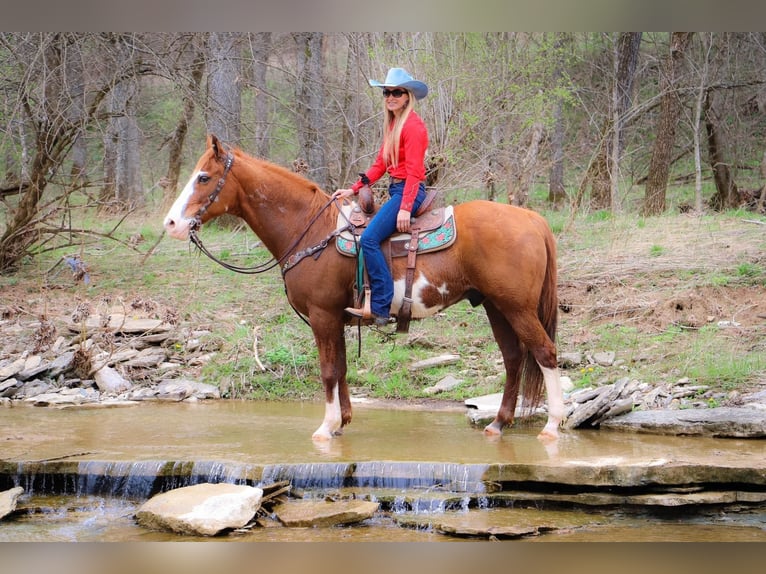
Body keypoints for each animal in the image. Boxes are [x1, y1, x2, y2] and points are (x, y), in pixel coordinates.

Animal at [166, 135, 564, 446]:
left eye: (204, 177)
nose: (171, 223)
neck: (311, 230)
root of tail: (533, 219)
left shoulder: (322, 316)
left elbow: (328, 371)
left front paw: (325, 428)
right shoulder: (337, 318)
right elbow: (341, 368)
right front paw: (341, 423)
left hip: (517, 307)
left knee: (544, 353)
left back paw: (552, 426)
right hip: (496, 306)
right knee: (513, 358)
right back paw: (498, 423)